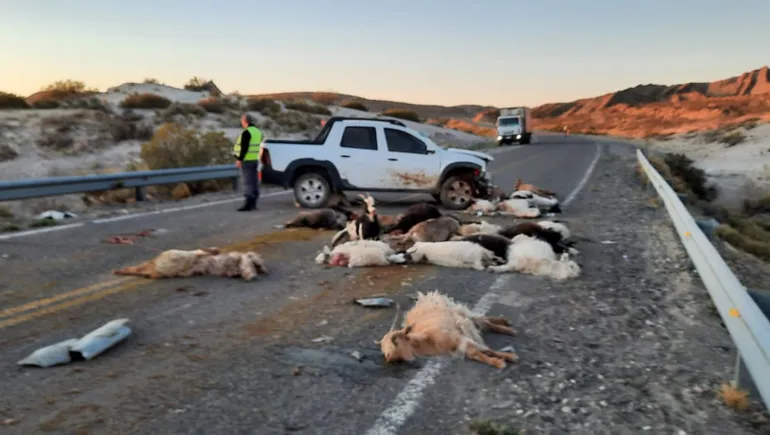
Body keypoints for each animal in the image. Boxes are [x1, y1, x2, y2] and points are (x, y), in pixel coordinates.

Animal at [374, 292, 516, 370]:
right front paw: (498, 361)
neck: (428, 340)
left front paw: (509, 357)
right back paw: (506, 324)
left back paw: (508, 327)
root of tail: (425, 297)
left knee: (481, 320)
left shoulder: (458, 337)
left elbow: (486, 349)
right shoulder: (457, 345)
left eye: (396, 341)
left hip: (459, 312)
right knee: (480, 321)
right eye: (383, 349)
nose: (389, 358)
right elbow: (476, 354)